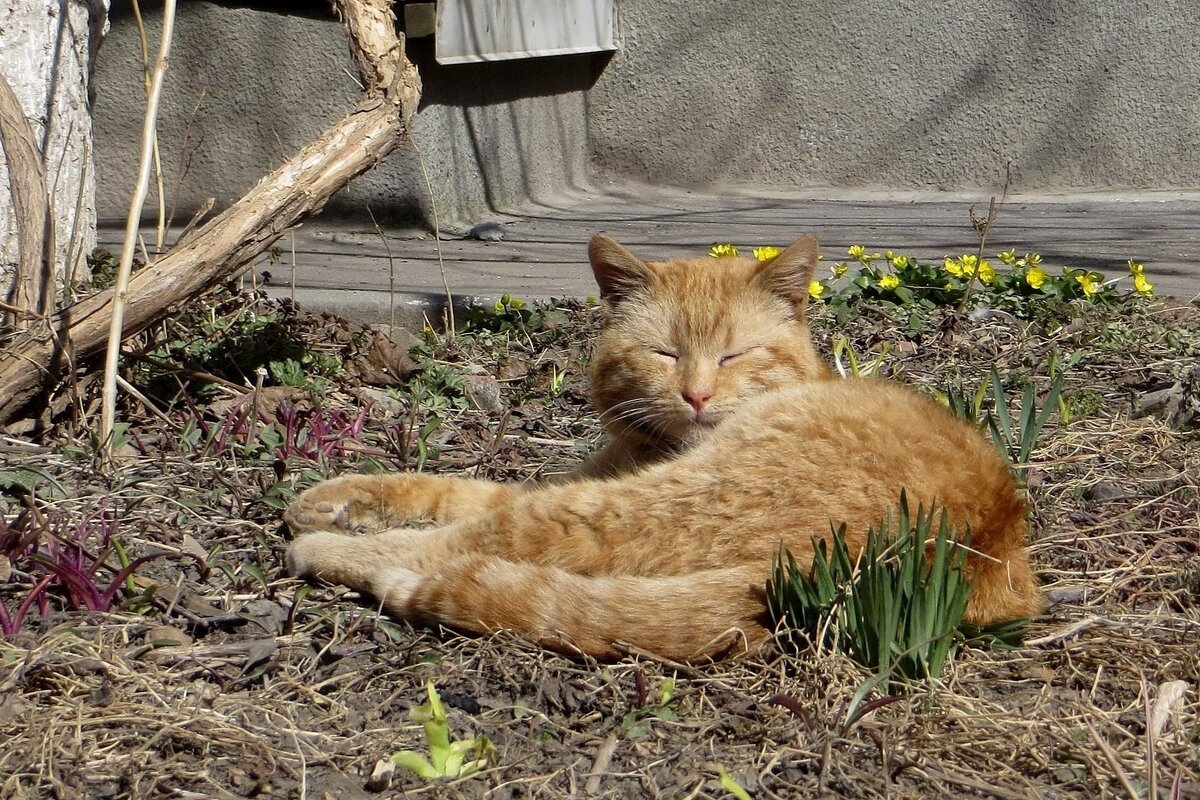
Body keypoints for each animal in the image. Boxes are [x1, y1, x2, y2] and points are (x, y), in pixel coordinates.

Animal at [280, 236, 1041, 662]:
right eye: (665, 353)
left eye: (732, 355)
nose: (698, 395)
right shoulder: (563, 476)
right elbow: (440, 486)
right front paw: (336, 496)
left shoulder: (581, 491)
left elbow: (464, 511)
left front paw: (329, 524)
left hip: (638, 509)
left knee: (466, 547)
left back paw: (328, 552)